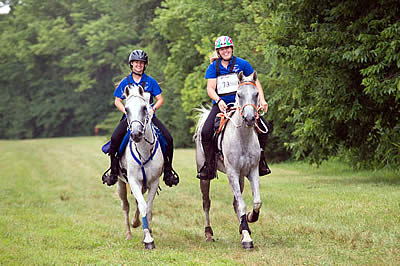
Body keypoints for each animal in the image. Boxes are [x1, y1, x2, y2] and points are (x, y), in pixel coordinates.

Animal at [116, 84, 163, 249]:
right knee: (125, 206)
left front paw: (148, 233)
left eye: (144, 108)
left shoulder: (154, 181)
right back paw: (129, 233)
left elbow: (147, 208)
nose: (136, 134)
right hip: (121, 184)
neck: (143, 150)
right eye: (126, 109)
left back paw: (137, 223)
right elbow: (142, 205)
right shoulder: (134, 181)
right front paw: (148, 239)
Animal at [195, 71, 262, 249]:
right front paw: (246, 238)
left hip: (241, 177)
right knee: (206, 202)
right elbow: (242, 203)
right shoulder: (232, 173)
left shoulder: (252, 171)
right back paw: (209, 233)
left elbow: (256, 202)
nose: (249, 119)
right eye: (239, 94)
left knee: (235, 203)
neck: (243, 137)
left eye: (256, 94)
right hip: (205, 177)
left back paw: (243, 228)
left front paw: (250, 219)